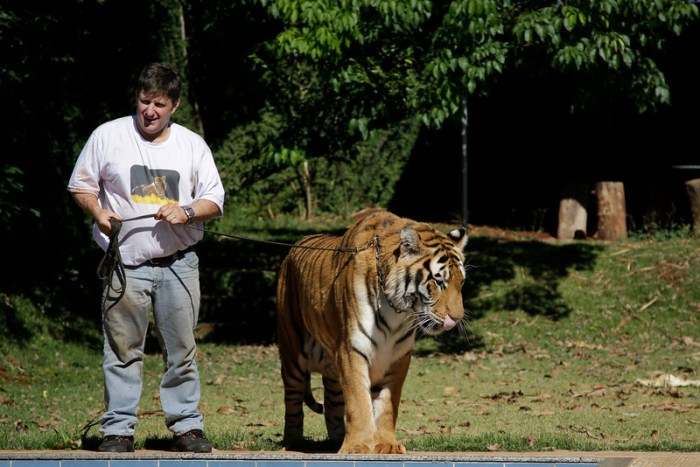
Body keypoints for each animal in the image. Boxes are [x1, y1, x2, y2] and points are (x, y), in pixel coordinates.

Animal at [276, 210, 468, 454]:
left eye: (460, 282)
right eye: (438, 281)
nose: (457, 318)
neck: (397, 311)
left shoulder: (398, 357)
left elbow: (387, 404)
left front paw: (387, 445)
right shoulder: (352, 350)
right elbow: (358, 402)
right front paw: (357, 446)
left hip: (331, 368)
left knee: (333, 404)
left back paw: (336, 440)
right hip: (292, 353)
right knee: (292, 399)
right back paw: (293, 441)